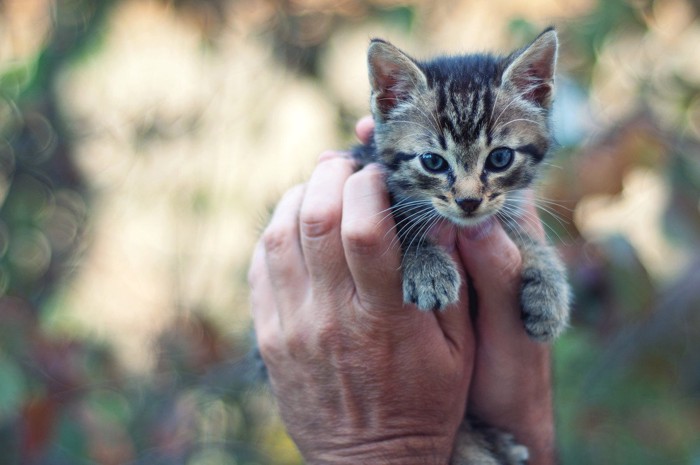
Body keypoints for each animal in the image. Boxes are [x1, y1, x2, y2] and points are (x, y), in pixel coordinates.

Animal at [352, 29, 572, 464]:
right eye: (433, 162)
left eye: (500, 158)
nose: (469, 201)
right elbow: (404, 224)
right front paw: (428, 266)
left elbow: (524, 238)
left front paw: (550, 292)